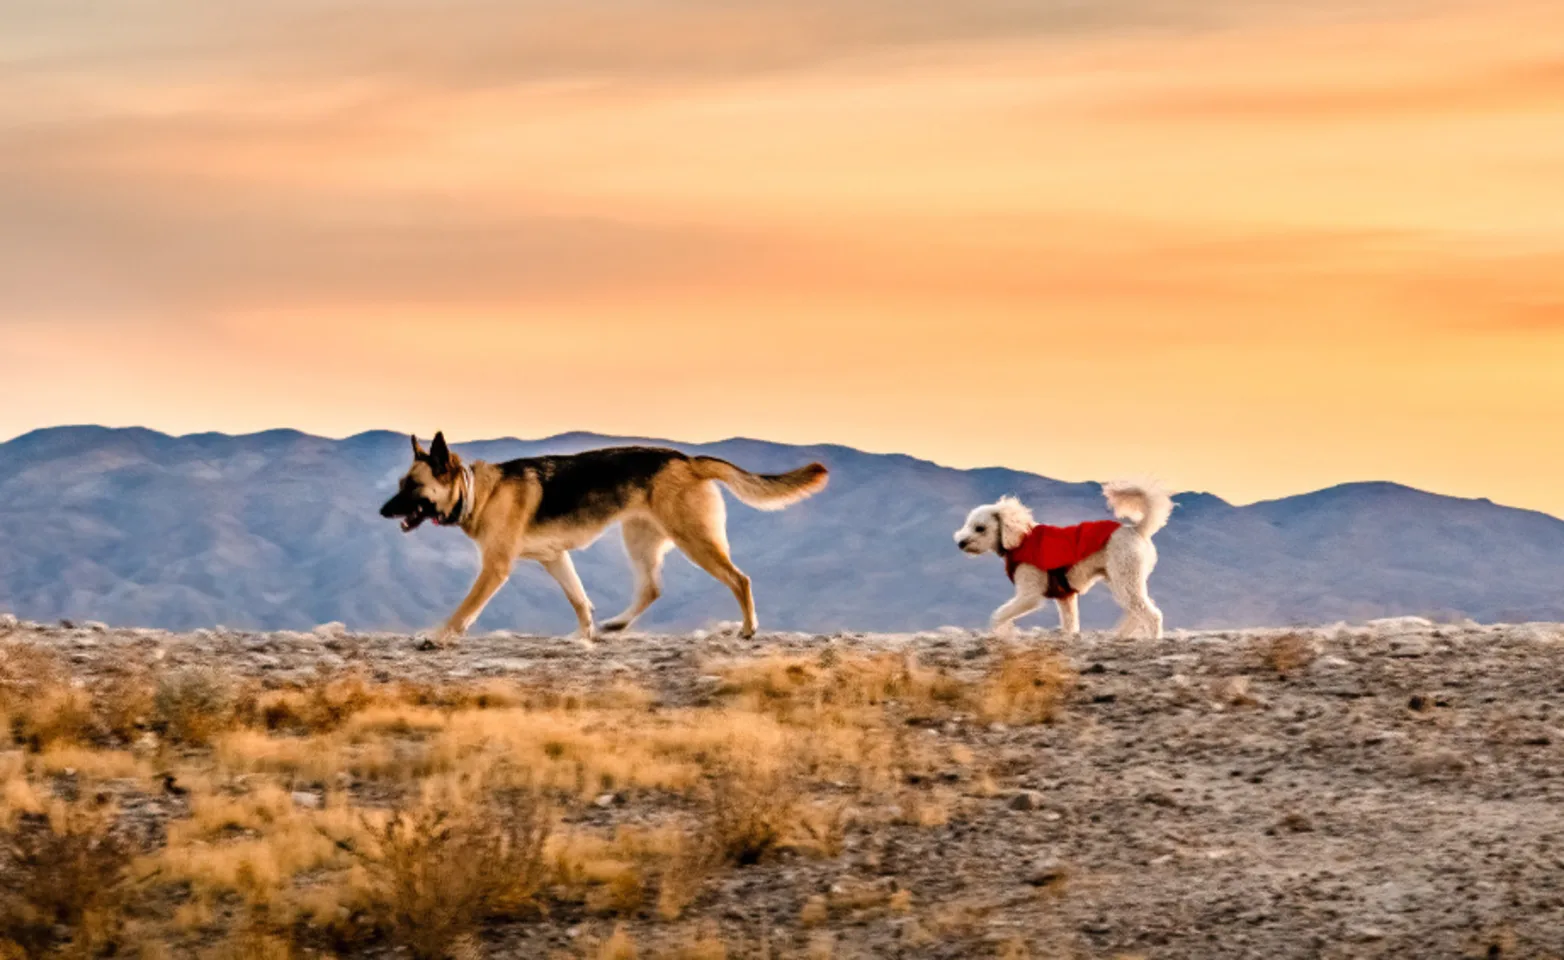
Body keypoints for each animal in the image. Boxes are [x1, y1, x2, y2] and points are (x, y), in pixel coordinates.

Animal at [380, 437, 832, 647]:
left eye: (413, 486)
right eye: (401, 483)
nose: (383, 511)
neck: (479, 492)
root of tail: (688, 460)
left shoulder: (495, 567)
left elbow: (464, 610)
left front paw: (438, 636)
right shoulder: (555, 558)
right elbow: (580, 600)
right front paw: (585, 635)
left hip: (694, 540)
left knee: (740, 579)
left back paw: (749, 628)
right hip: (640, 540)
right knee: (652, 588)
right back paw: (616, 624)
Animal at [950, 481, 1176, 641]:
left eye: (980, 528)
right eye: (968, 524)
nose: (960, 543)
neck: (1020, 539)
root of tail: (1137, 530)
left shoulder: (1030, 594)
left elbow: (998, 615)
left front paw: (1002, 633)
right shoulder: (1065, 596)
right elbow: (1070, 625)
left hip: (1125, 579)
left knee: (1152, 614)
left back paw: (1152, 640)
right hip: (1121, 580)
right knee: (1139, 609)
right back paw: (1121, 636)